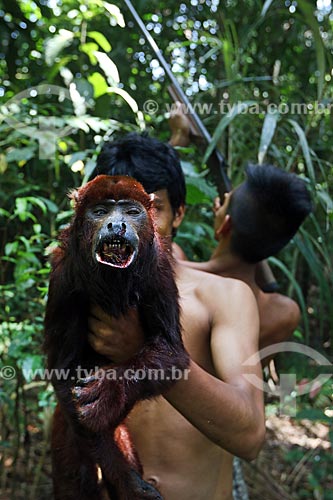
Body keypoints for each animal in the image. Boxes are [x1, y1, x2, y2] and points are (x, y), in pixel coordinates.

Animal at [44, 176, 189, 500]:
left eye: (132, 211)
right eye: (100, 211)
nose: (116, 225)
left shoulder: (159, 271)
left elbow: (172, 353)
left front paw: (110, 390)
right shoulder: (62, 278)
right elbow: (64, 370)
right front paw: (125, 478)